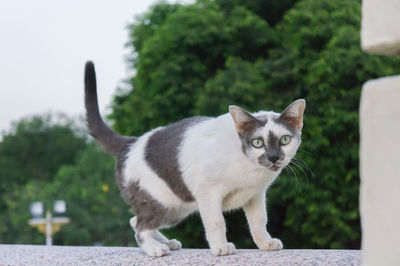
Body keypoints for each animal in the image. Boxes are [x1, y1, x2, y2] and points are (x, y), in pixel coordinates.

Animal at [83, 60, 304, 258]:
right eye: (258, 142)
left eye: (285, 140)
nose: (273, 157)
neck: (250, 170)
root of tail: (130, 143)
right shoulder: (208, 192)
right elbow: (216, 221)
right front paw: (220, 247)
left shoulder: (255, 195)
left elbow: (259, 220)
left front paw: (265, 242)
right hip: (159, 201)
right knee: (141, 227)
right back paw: (156, 248)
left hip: (176, 208)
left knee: (134, 221)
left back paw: (166, 242)